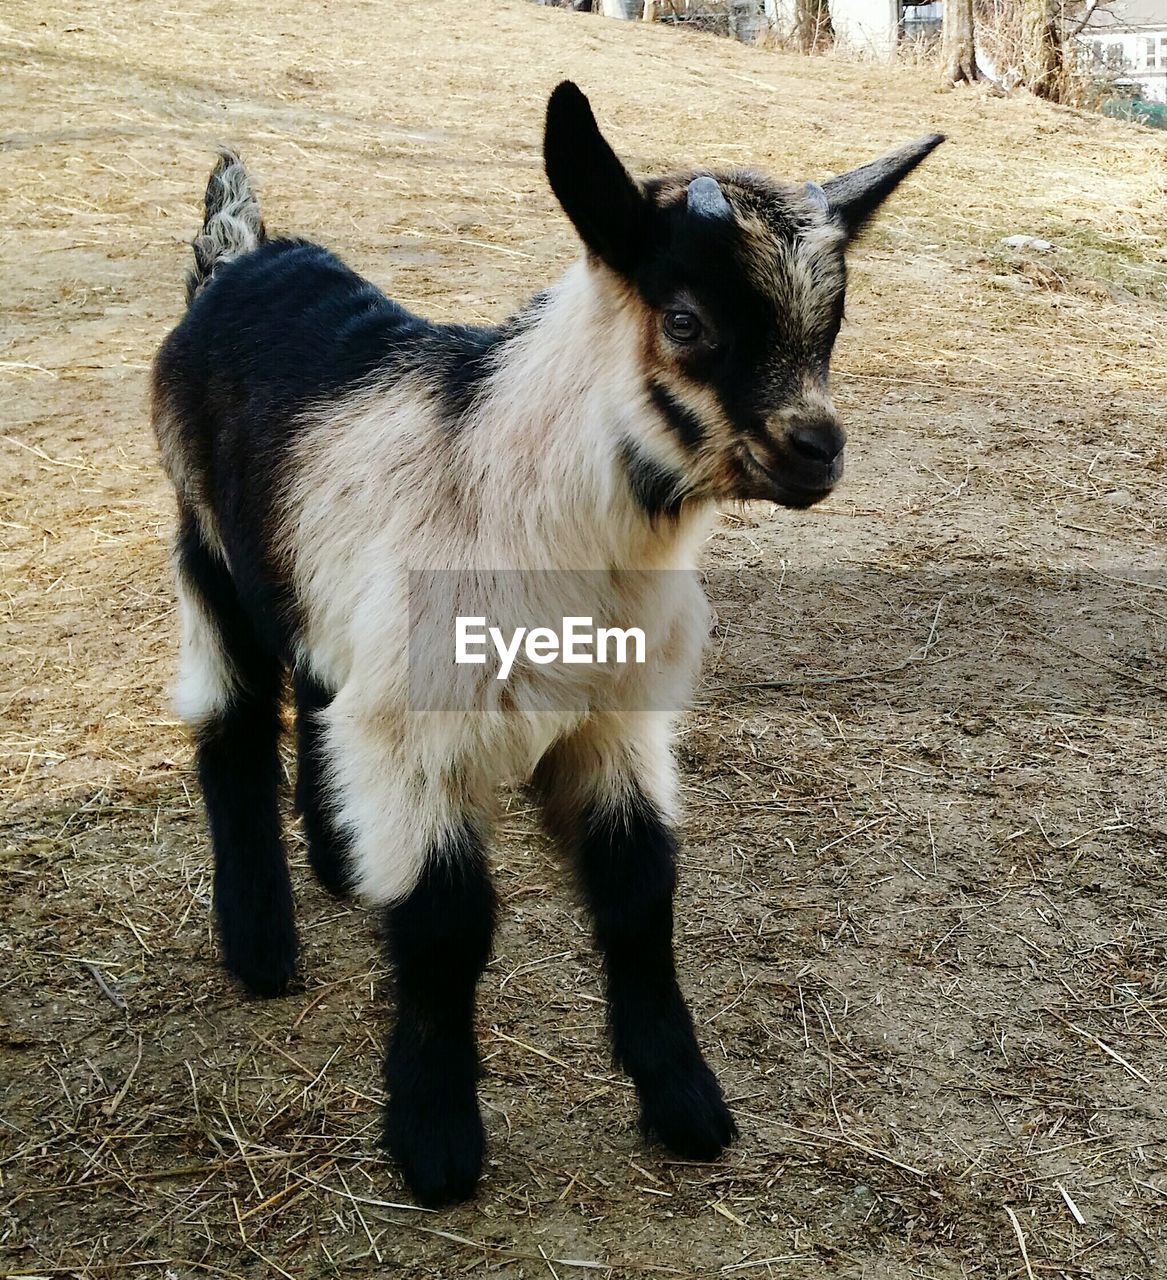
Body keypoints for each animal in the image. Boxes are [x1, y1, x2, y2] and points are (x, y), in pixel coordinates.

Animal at [150, 85, 941, 1203]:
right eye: (687, 321)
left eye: (831, 324)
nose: (817, 451)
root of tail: (241, 257)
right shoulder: (422, 733)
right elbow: (447, 923)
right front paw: (436, 1139)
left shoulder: (613, 719)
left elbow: (640, 891)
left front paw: (685, 1103)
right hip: (206, 545)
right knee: (231, 726)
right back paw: (261, 946)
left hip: (312, 575)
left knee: (315, 682)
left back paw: (342, 862)